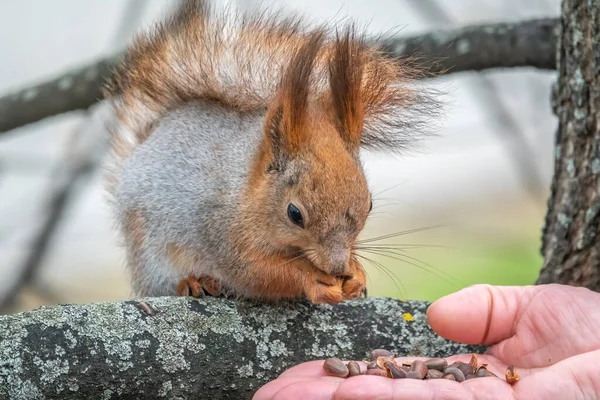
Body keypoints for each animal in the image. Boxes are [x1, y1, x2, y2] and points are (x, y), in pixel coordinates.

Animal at [103, 0, 438, 304]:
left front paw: (356, 274)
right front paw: (313, 279)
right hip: (152, 258)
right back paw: (194, 283)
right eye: (294, 214)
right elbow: (259, 273)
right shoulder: (224, 233)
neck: (250, 191)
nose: (336, 267)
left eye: (369, 205)